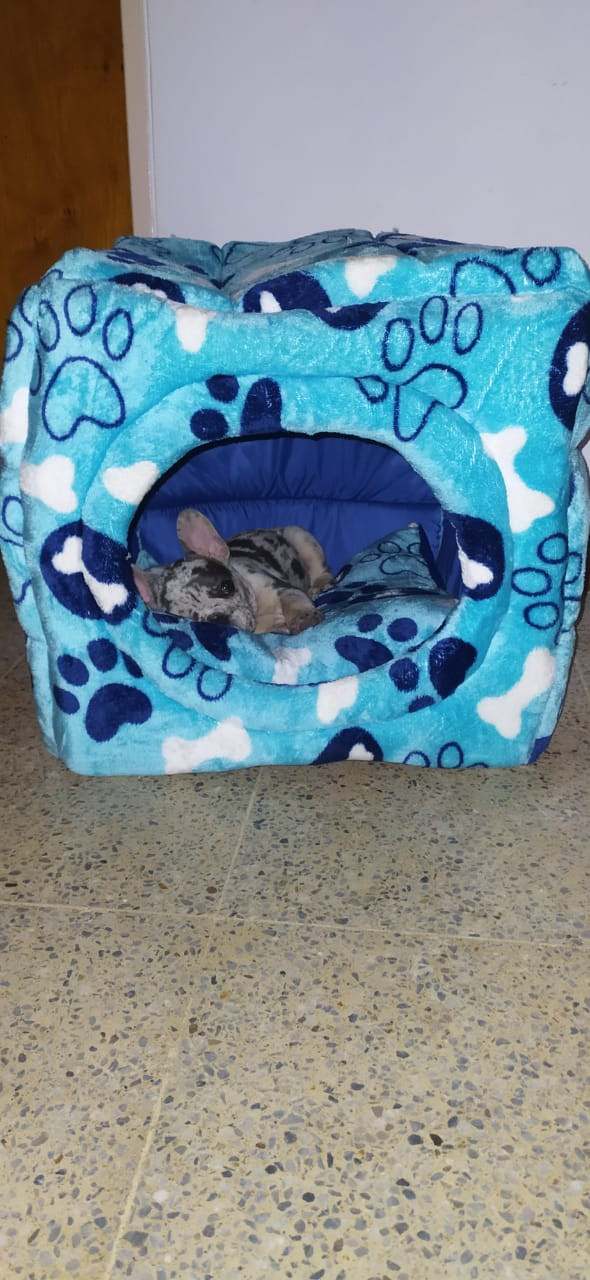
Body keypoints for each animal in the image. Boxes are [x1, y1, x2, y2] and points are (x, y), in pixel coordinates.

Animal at [132, 508, 334, 634]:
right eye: (185, 617)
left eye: (226, 586)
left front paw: (302, 617)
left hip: (300, 537)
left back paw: (321, 583)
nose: (218, 617)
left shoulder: (281, 588)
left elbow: (293, 600)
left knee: (319, 567)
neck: (257, 610)